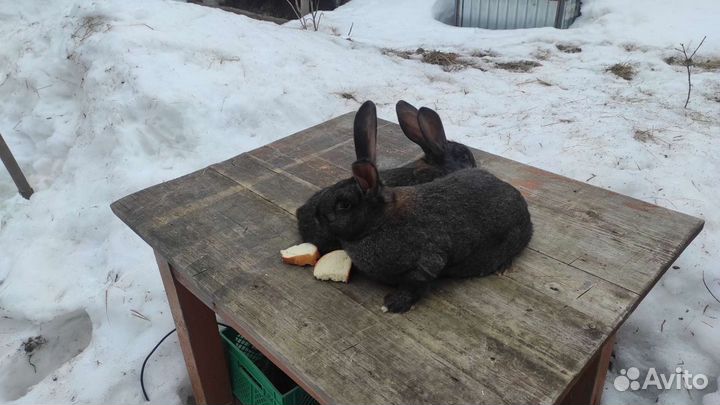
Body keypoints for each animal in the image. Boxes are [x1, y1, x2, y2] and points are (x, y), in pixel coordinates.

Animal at [312, 104, 532, 312]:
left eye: (344, 204)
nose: (317, 214)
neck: (380, 221)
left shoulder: (429, 261)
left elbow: (416, 283)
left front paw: (394, 304)